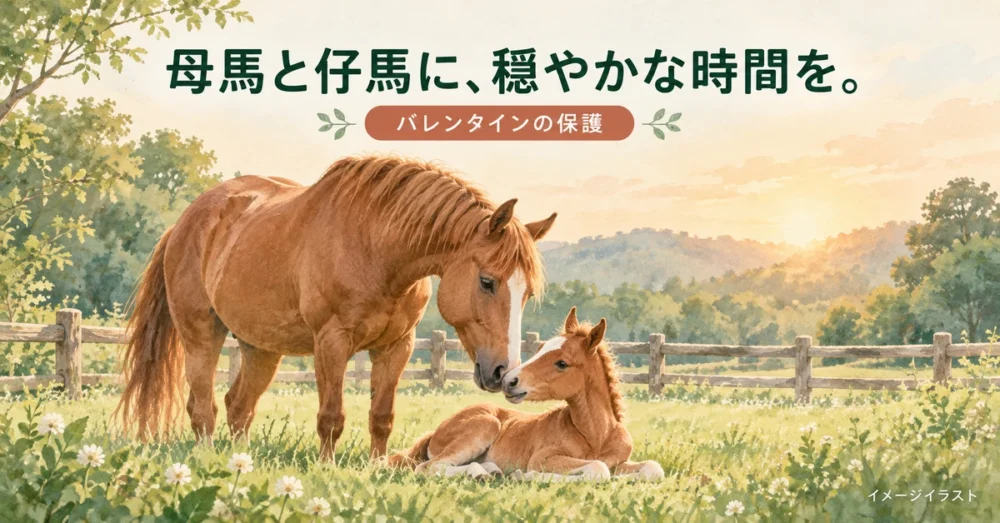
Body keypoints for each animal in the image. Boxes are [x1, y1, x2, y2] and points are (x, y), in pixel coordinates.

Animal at [115, 155, 557, 460]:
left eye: (526, 294)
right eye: (487, 281)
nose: (502, 372)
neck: (377, 249)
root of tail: (185, 221)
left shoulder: (397, 347)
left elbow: (382, 417)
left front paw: (378, 468)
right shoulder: (331, 342)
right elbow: (331, 416)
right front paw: (327, 467)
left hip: (261, 348)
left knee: (238, 407)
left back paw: (240, 460)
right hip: (201, 336)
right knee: (202, 407)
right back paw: (207, 458)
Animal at [387, 307, 665, 482]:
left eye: (562, 363)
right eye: (540, 348)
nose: (508, 380)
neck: (595, 435)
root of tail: (437, 430)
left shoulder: (620, 461)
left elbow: (653, 469)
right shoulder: (545, 458)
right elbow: (598, 469)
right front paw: (527, 475)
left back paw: (490, 470)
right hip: (485, 425)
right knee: (429, 467)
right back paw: (483, 473)